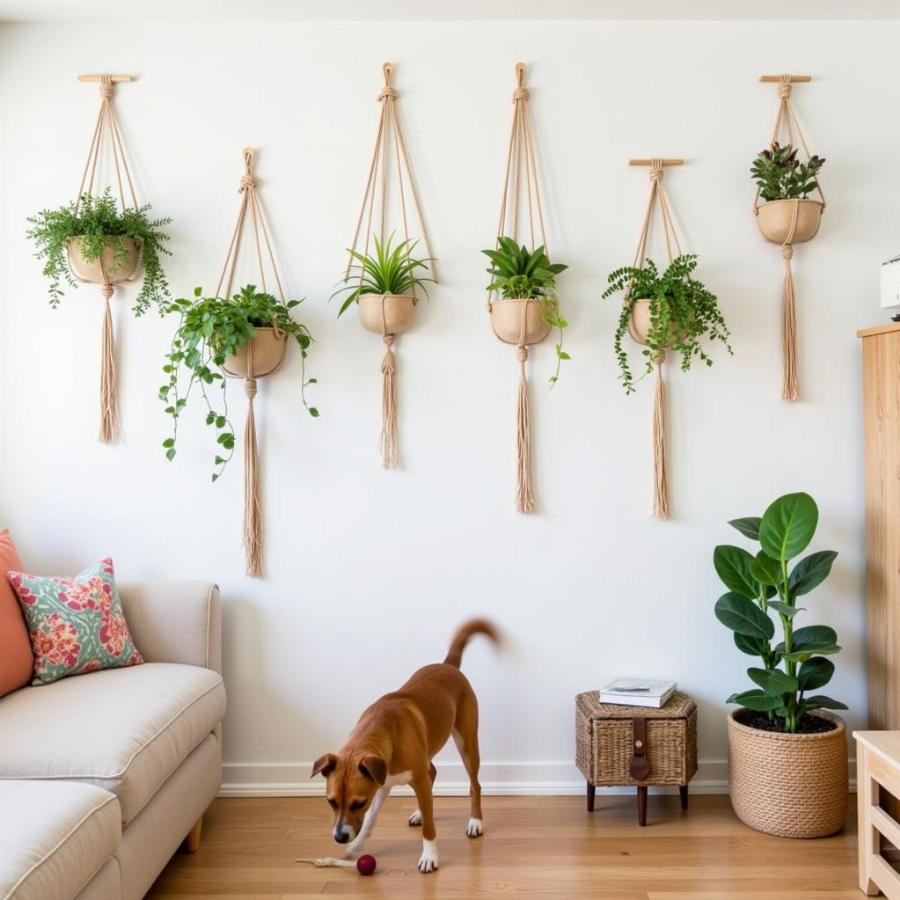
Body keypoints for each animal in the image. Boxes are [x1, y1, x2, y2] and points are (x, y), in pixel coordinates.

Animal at [312, 620, 500, 872]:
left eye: (358, 803)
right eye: (330, 801)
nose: (340, 837)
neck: (384, 731)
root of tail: (448, 666)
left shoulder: (411, 781)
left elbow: (429, 829)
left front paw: (429, 856)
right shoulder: (382, 785)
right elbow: (370, 820)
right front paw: (355, 847)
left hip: (467, 743)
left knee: (475, 785)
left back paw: (475, 822)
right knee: (432, 774)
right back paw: (421, 812)